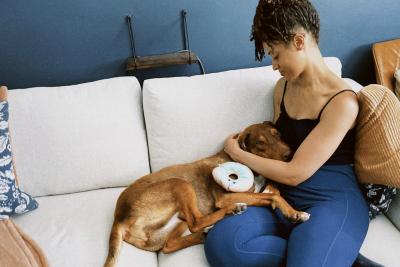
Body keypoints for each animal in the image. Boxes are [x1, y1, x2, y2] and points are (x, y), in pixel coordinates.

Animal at [104, 122, 310, 267]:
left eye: (278, 135)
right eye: (261, 143)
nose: (290, 154)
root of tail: (119, 219)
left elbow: (272, 190)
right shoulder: (225, 197)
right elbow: (273, 196)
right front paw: (294, 213)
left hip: (175, 222)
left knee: (170, 244)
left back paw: (203, 235)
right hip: (180, 183)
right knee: (196, 222)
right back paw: (231, 211)